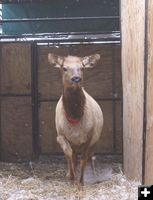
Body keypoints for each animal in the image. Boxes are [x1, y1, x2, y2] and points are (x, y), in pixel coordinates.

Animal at [47, 52, 103, 184]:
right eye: (64, 68)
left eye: (82, 68)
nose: (76, 79)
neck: (74, 117)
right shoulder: (61, 135)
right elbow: (69, 154)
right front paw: (71, 176)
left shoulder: (89, 137)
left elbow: (83, 158)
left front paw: (81, 181)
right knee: (72, 156)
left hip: (95, 140)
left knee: (92, 156)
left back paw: (94, 175)